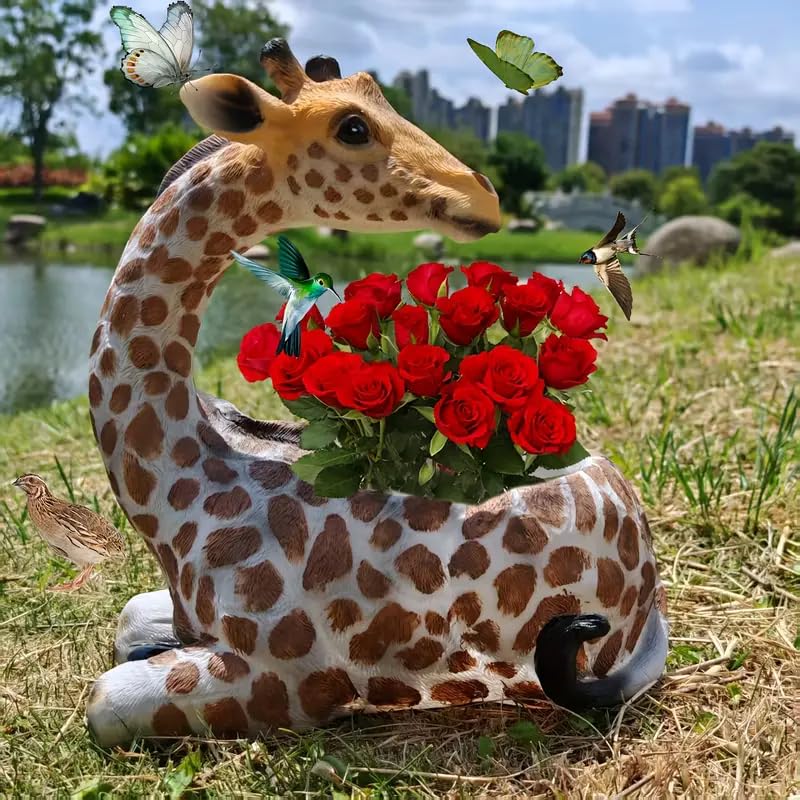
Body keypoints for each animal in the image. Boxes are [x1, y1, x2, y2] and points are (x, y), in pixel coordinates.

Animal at [84, 41, 668, 747]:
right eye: (353, 127)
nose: (485, 197)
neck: (179, 493)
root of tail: (650, 595)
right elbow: (127, 622)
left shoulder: (288, 680)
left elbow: (103, 699)